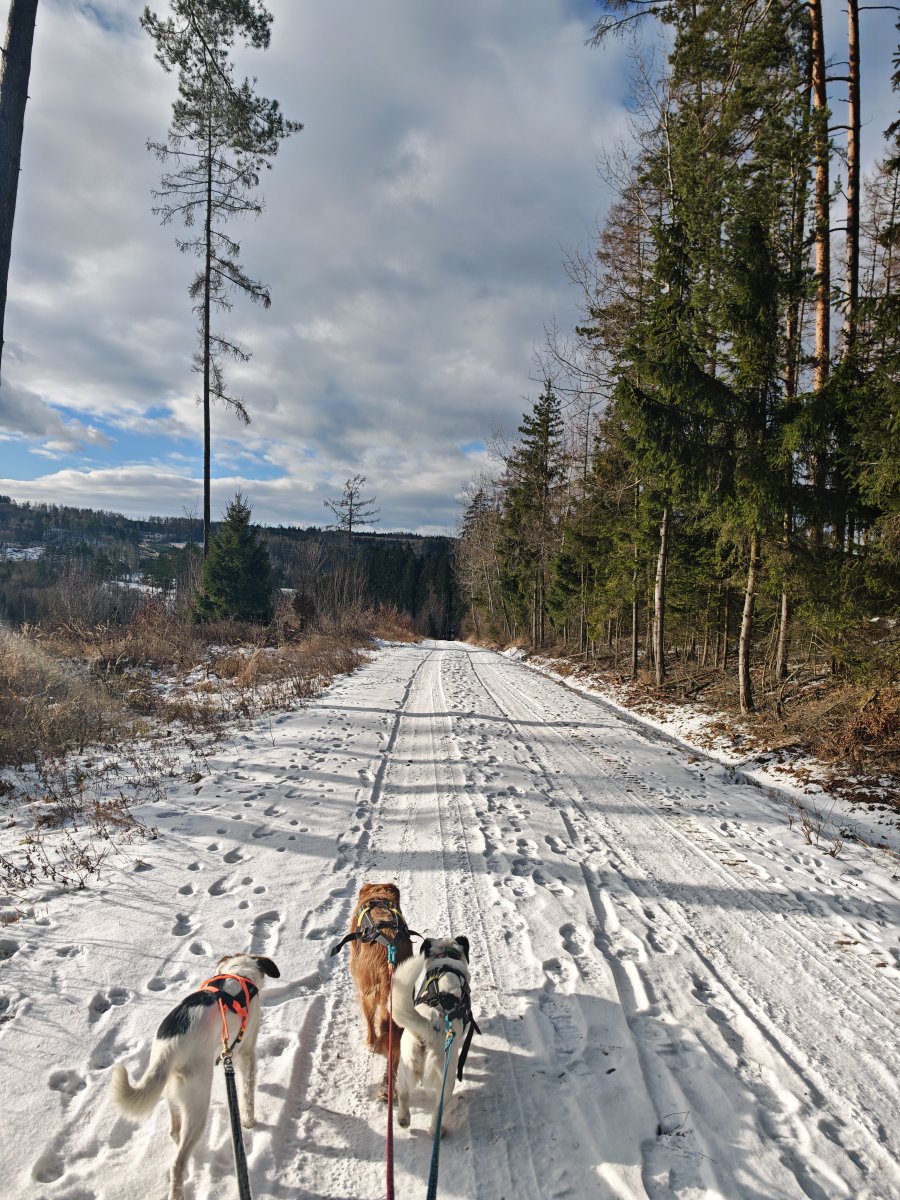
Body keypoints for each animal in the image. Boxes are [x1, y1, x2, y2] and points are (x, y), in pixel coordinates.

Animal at [110, 952, 280, 1200]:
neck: (238, 973)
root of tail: (168, 1049)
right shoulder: (246, 1050)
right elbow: (248, 1093)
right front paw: (250, 1122)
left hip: (173, 1091)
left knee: (174, 1131)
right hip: (198, 1103)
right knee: (177, 1163)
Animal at [392, 936, 473, 1135]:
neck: (446, 956)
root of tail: (430, 1025)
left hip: (405, 1065)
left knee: (403, 1093)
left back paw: (403, 1119)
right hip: (446, 1077)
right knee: (438, 1109)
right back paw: (438, 1130)